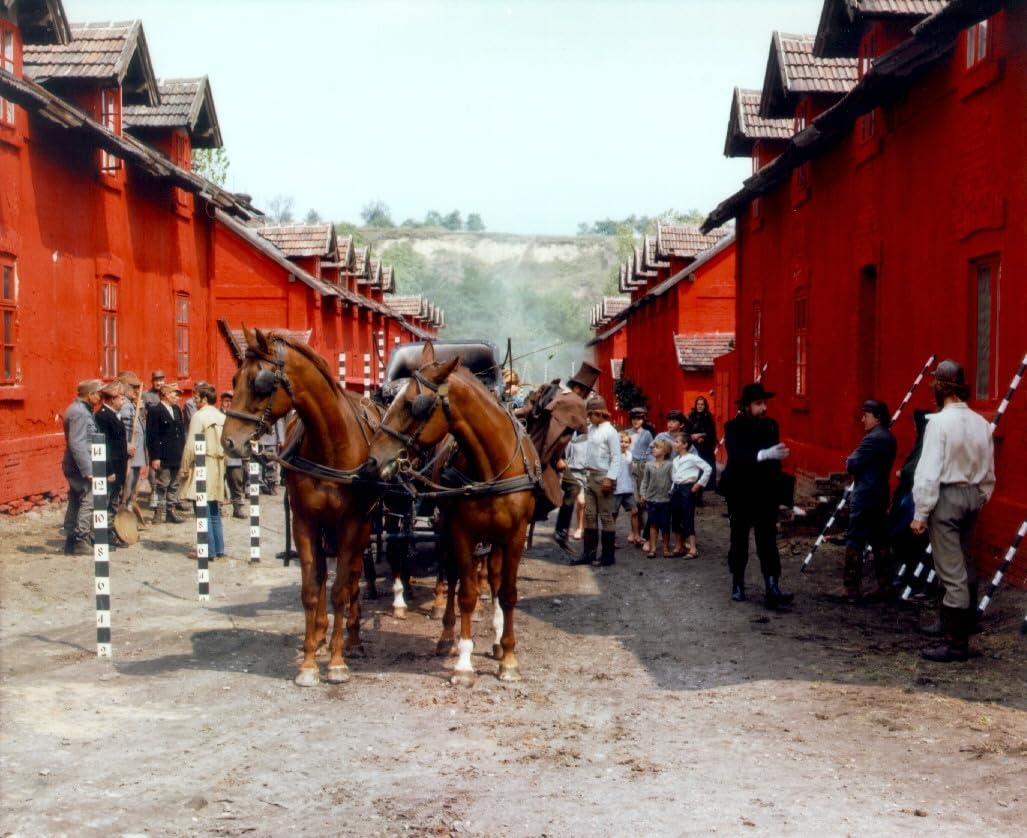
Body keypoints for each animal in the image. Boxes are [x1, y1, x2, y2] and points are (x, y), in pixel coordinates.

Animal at [221, 326, 384, 687]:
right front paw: (309, 663)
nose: (229, 442)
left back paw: (352, 639)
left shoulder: (352, 523)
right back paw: (321, 636)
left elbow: (341, 589)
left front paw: (337, 663)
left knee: (353, 575)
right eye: (234, 377)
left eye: (260, 381)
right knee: (322, 574)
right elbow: (312, 588)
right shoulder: (305, 521)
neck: (330, 444)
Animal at [361, 342, 540, 686]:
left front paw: (508, 658)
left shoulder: (514, 536)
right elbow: (466, 594)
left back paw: (496, 639)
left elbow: (508, 593)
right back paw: (447, 635)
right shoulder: (462, 533)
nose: (373, 460)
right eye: (393, 399)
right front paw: (464, 664)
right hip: (445, 529)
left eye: (413, 405)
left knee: (493, 580)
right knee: (453, 576)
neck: (492, 467)